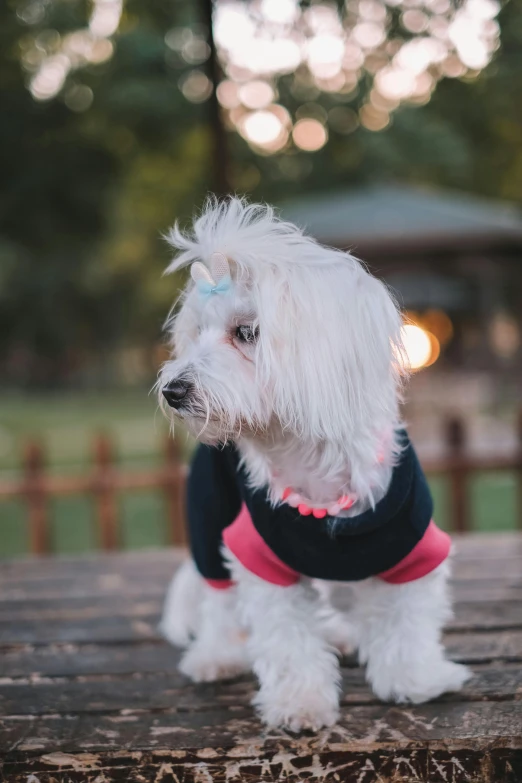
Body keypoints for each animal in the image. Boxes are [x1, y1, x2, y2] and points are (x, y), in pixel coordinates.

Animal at [156, 198, 470, 736]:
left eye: (246, 333)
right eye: (196, 334)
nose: (173, 390)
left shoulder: (417, 549)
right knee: (218, 599)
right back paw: (216, 656)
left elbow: (407, 622)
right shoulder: (257, 555)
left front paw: (416, 679)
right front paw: (300, 703)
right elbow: (287, 640)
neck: (309, 461)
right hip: (206, 516)